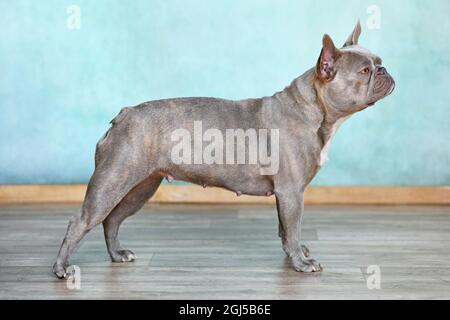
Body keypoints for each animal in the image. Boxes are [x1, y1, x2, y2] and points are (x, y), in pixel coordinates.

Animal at [52, 21, 394, 278]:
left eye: (378, 62)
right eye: (365, 71)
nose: (385, 71)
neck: (313, 109)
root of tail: (124, 114)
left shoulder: (285, 195)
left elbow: (285, 229)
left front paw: (292, 255)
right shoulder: (292, 192)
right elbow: (293, 227)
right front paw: (301, 262)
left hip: (141, 187)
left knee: (112, 220)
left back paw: (116, 254)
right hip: (113, 181)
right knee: (81, 221)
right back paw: (62, 269)